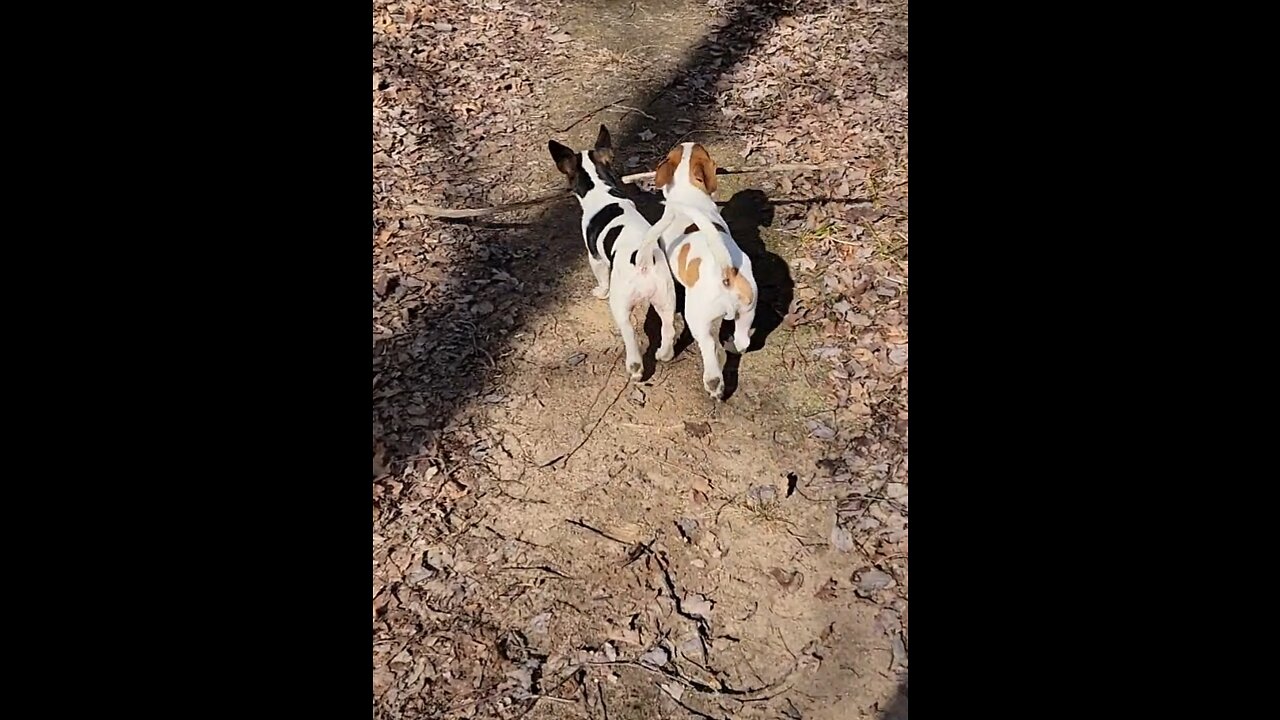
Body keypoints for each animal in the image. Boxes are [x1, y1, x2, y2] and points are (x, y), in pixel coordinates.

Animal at [545, 125, 680, 379]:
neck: (602, 192)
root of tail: (642, 261)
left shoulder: (595, 258)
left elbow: (601, 278)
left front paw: (600, 290)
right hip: (666, 300)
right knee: (668, 329)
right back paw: (663, 354)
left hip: (621, 306)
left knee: (630, 336)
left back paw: (635, 368)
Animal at [634, 140, 752, 397]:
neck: (688, 190)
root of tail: (726, 272)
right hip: (747, 313)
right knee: (742, 342)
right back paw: (732, 346)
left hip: (698, 318)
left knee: (708, 347)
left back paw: (712, 382)